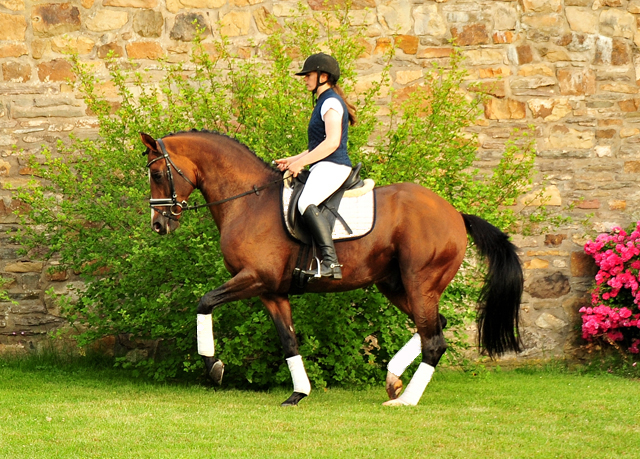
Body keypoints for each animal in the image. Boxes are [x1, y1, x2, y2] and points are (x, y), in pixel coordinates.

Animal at [139, 129, 520, 406]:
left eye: (157, 173)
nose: (158, 225)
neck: (248, 201)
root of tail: (455, 214)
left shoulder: (253, 279)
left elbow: (204, 302)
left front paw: (214, 367)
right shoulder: (271, 291)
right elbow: (289, 341)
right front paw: (298, 394)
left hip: (419, 283)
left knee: (434, 341)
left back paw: (406, 400)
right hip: (396, 285)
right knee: (435, 326)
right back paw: (393, 378)